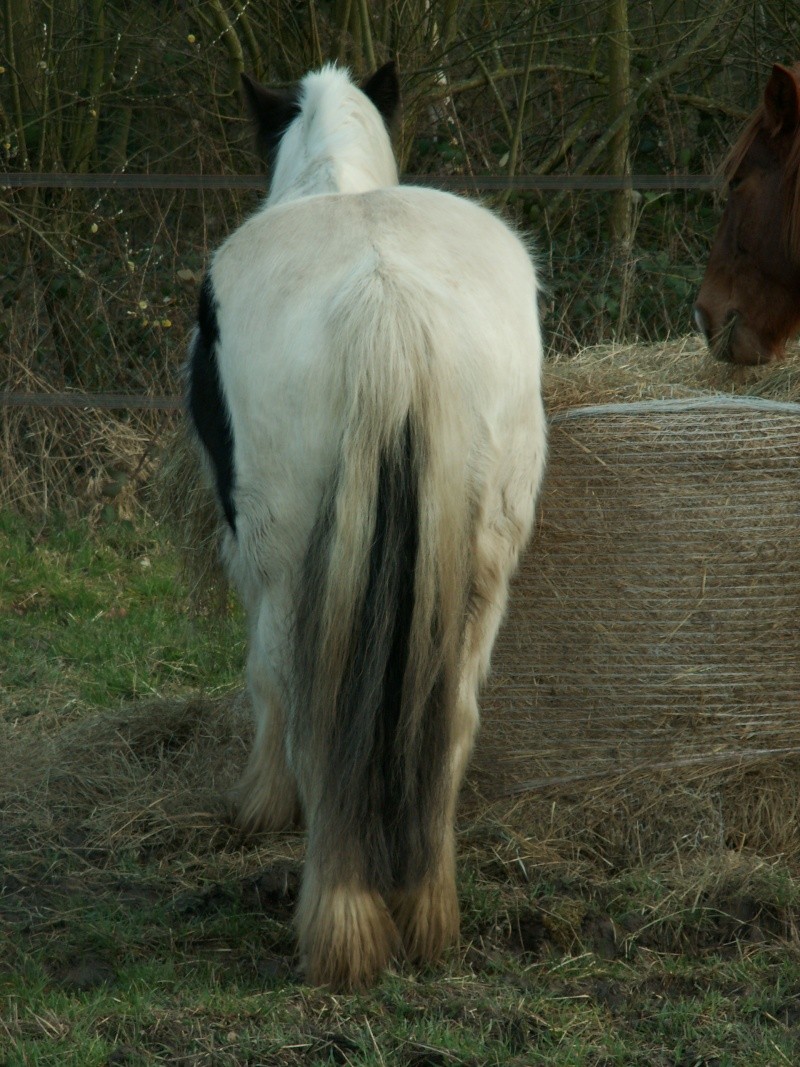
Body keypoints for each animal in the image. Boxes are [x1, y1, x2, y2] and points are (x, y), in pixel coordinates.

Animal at [187, 62, 550, 985]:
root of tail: (385, 296)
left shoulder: (250, 555)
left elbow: (263, 680)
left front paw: (261, 803)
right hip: (484, 566)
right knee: (454, 717)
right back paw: (427, 912)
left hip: (288, 562)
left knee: (307, 704)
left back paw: (340, 924)